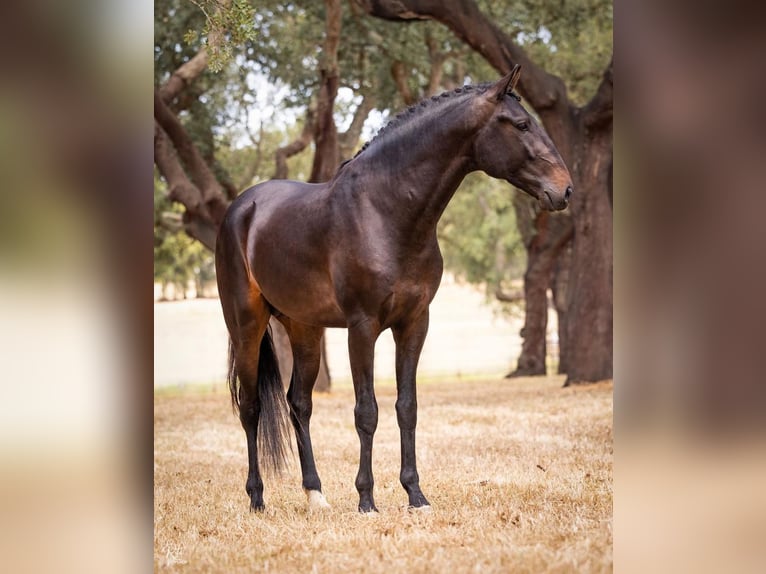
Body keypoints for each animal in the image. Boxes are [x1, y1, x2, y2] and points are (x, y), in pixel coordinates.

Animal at [213, 65, 572, 516]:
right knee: (251, 408)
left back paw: (315, 494)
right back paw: (257, 499)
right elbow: (367, 411)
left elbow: (407, 407)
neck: (384, 212)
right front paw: (367, 499)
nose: (565, 190)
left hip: (304, 330)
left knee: (299, 404)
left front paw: (415, 495)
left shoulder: (414, 323)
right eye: (522, 125)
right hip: (247, 326)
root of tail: (241, 209)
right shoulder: (362, 328)